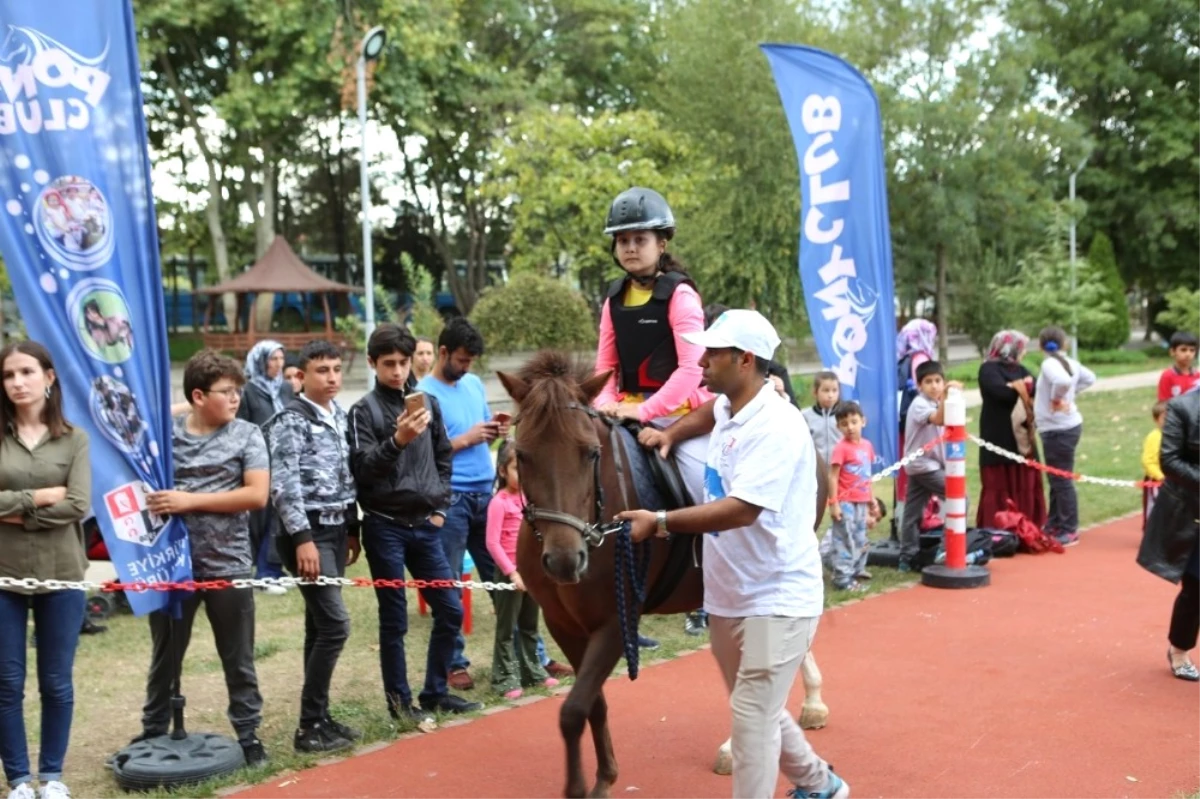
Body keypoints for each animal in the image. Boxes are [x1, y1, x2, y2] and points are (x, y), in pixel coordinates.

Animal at [501, 352, 830, 791]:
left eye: (590, 453)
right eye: (523, 454)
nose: (565, 560)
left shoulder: (616, 621)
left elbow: (573, 711)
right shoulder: (563, 624)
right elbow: (591, 705)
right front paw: (604, 777)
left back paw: (739, 745)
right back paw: (810, 702)